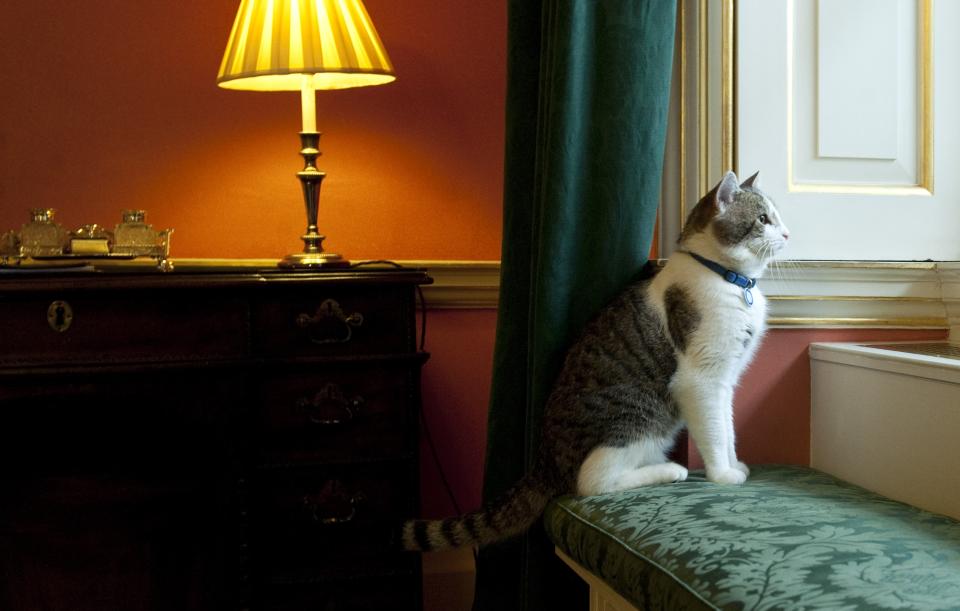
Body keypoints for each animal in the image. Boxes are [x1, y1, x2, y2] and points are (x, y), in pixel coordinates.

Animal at [402, 170, 792, 552]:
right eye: (763, 219)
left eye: (777, 216)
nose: (788, 233)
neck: (728, 279)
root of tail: (544, 460)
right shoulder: (702, 378)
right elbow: (713, 432)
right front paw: (722, 475)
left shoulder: (725, 380)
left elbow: (727, 428)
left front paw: (734, 463)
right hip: (638, 417)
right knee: (591, 482)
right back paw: (669, 471)